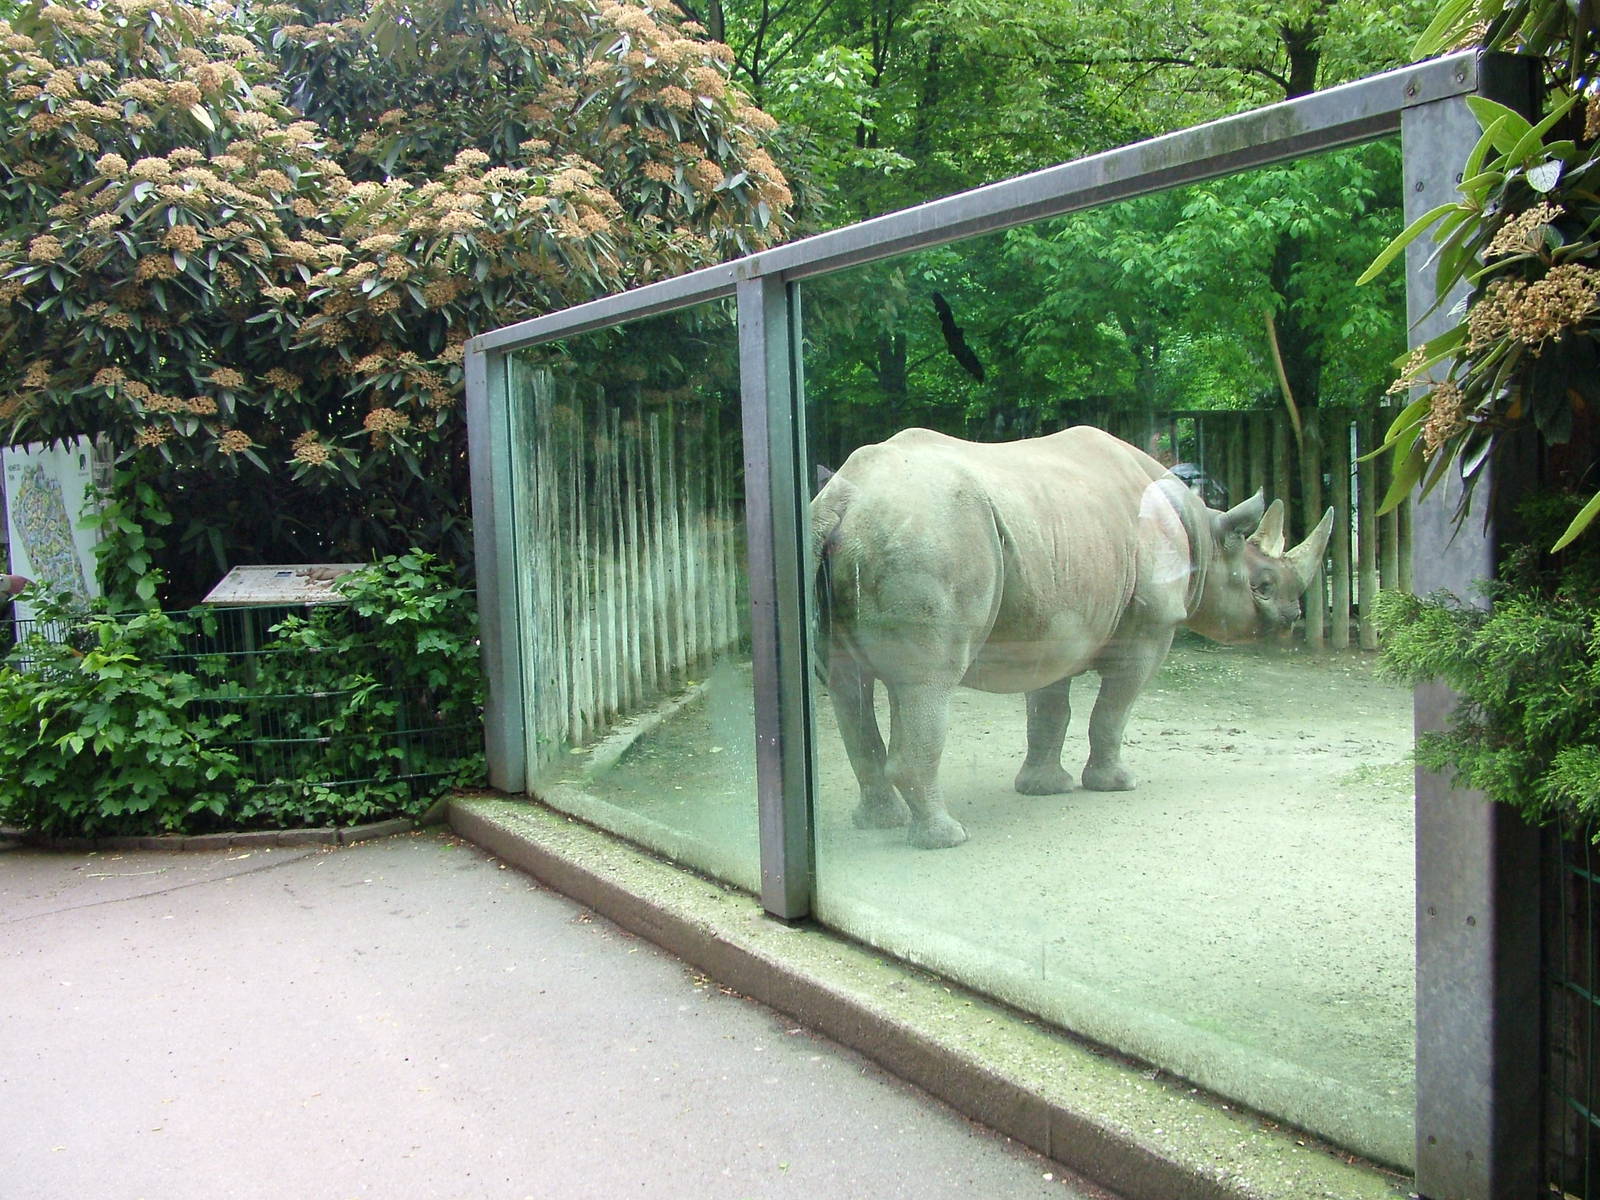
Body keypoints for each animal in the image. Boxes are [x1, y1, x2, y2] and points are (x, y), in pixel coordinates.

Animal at [810, 426, 1334, 849]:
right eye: (1262, 585)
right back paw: (947, 838)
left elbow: (1049, 712)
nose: (1292, 616)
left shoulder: (1055, 625)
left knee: (847, 685)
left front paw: (1044, 788)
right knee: (927, 683)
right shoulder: (1150, 630)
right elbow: (1113, 712)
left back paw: (881, 822)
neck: (1205, 537)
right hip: (930, 538)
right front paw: (1116, 783)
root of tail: (844, 502)